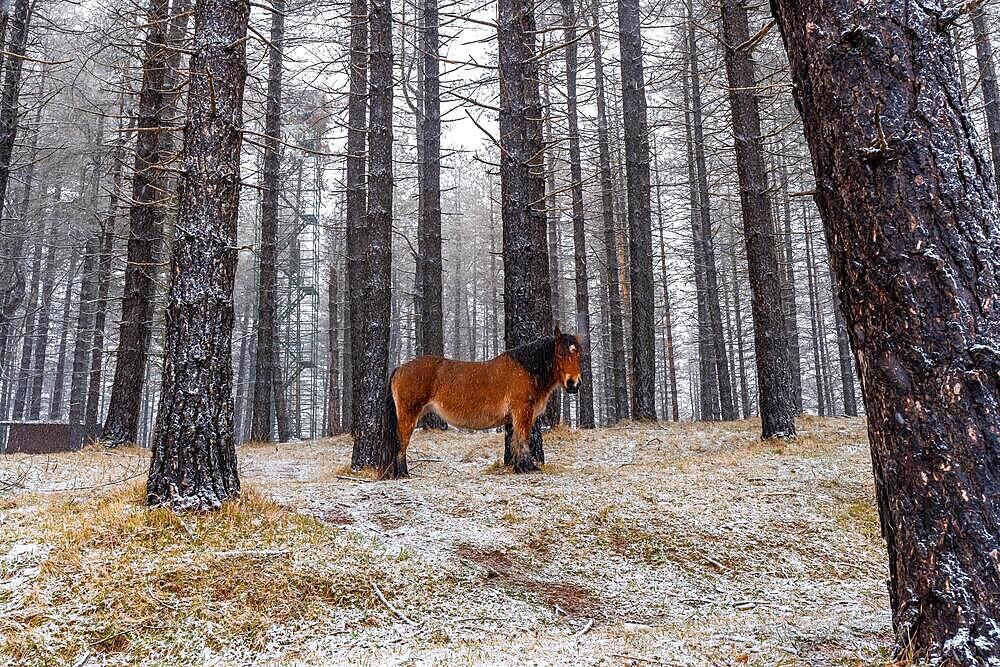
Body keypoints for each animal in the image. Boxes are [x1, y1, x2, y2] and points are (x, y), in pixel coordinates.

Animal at [382, 326, 584, 478]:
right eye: (559, 354)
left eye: (579, 355)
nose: (573, 383)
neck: (527, 369)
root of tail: (400, 368)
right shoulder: (522, 411)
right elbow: (523, 438)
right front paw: (526, 468)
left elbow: (516, 440)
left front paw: (521, 466)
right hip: (408, 415)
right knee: (401, 441)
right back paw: (403, 474)